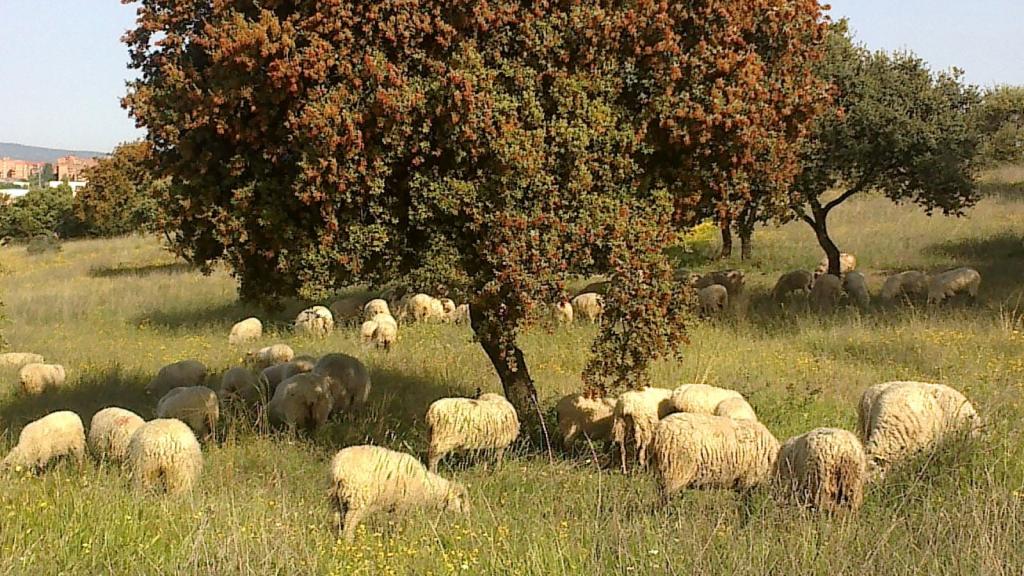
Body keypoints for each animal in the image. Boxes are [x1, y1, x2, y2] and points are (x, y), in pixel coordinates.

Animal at [328, 445, 469, 542]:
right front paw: (396, 540)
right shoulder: (402, 506)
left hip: (337, 499)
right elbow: (398, 525)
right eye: (461, 500)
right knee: (349, 524)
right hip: (358, 500)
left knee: (336, 520)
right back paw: (348, 542)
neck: (427, 487)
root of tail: (339, 468)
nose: (466, 517)